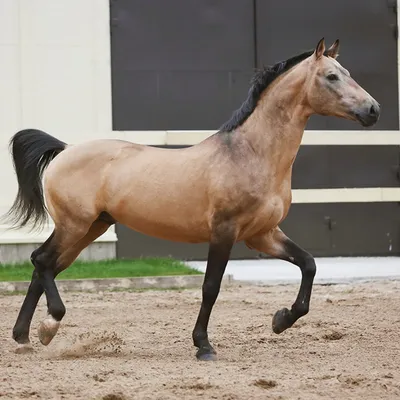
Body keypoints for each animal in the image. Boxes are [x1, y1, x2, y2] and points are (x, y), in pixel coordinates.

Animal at [6, 39, 380, 360]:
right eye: (331, 76)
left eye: (347, 72)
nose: (373, 110)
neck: (251, 155)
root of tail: (65, 150)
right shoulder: (225, 231)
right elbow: (210, 287)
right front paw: (204, 346)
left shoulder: (263, 234)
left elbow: (309, 264)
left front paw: (281, 320)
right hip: (75, 225)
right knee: (42, 262)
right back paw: (48, 326)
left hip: (90, 228)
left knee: (45, 266)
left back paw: (25, 337)